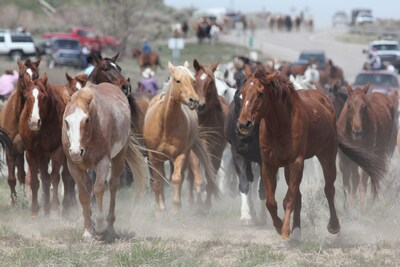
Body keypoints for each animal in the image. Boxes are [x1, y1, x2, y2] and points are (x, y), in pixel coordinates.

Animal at [0, 59, 40, 205]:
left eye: (36, 75)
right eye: (21, 75)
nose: (32, 89)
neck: (18, 116)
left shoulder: (27, 149)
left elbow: (26, 175)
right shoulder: (11, 149)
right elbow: (12, 178)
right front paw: (13, 201)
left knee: (22, 174)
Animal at [18, 74, 76, 217]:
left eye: (44, 97)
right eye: (26, 97)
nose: (34, 122)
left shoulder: (57, 151)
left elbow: (55, 178)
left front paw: (54, 209)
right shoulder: (32, 153)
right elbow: (36, 181)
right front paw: (34, 211)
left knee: (65, 177)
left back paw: (65, 207)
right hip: (43, 156)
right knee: (45, 178)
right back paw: (46, 208)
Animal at [63, 84, 148, 243]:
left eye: (86, 120)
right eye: (66, 121)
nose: (76, 152)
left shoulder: (102, 162)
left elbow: (99, 189)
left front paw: (100, 227)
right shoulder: (73, 166)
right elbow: (83, 194)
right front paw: (88, 230)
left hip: (119, 157)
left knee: (113, 186)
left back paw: (109, 227)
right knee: (89, 185)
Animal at [144, 61, 219, 215]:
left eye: (193, 81)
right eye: (177, 80)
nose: (194, 101)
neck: (165, 124)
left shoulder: (180, 155)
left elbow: (177, 179)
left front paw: (176, 208)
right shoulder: (153, 157)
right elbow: (157, 182)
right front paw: (159, 209)